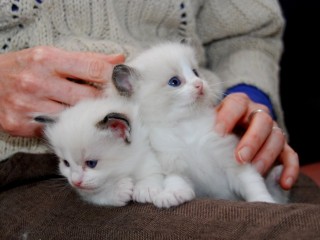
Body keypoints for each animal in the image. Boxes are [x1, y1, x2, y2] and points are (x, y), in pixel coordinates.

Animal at [35, 97, 165, 206]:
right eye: (66, 163)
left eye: (91, 163)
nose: (76, 182)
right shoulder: (86, 192)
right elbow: (97, 195)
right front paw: (117, 191)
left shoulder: (144, 152)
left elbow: (151, 170)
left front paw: (146, 187)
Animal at [108, 40, 290, 204]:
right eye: (174, 82)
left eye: (195, 72)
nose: (199, 84)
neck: (186, 125)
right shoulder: (174, 163)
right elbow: (175, 180)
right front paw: (172, 195)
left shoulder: (232, 160)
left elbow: (252, 183)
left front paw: (263, 201)